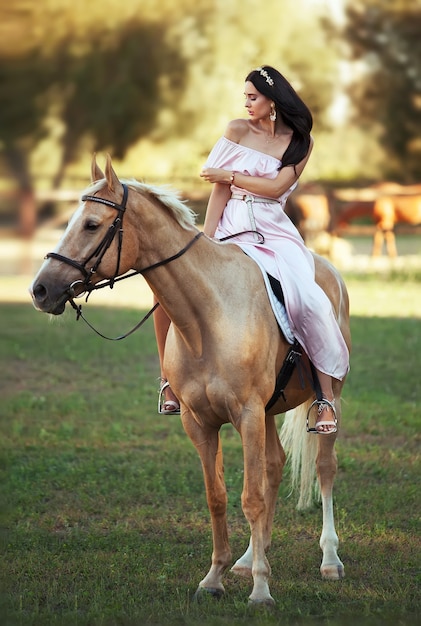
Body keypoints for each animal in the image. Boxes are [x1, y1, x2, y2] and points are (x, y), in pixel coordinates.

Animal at [30, 155, 352, 604]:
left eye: (92, 224)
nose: (40, 290)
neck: (208, 316)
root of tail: (329, 269)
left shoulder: (247, 415)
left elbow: (250, 498)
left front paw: (261, 591)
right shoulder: (199, 422)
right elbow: (218, 497)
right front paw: (216, 578)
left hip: (328, 400)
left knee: (324, 467)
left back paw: (329, 560)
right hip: (270, 412)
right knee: (274, 466)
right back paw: (251, 557)